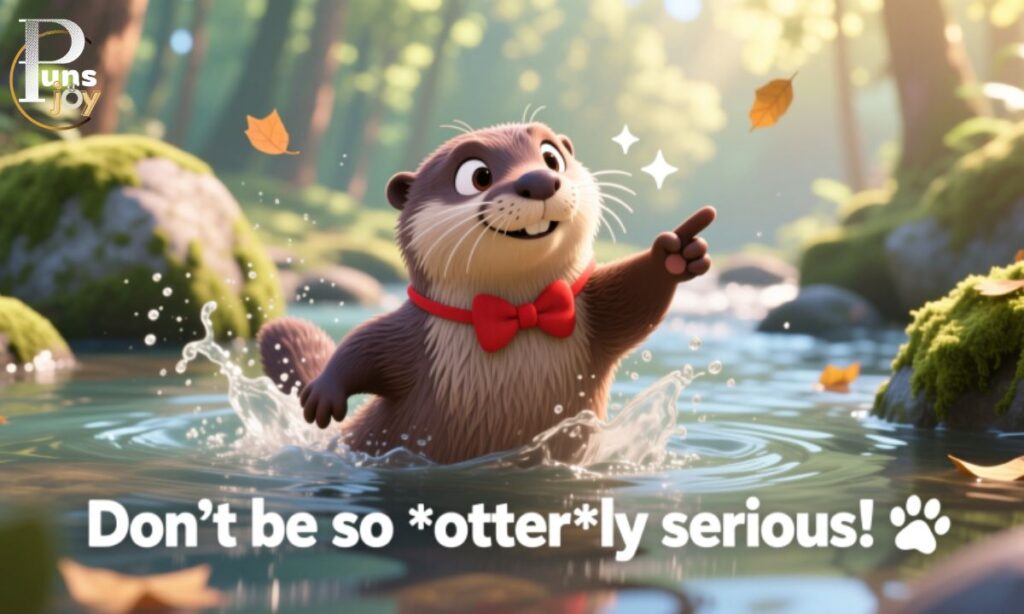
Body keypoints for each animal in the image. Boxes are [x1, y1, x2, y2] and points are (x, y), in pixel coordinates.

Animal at [258, 122, 714, 464]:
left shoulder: (593, 311)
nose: (540, 179)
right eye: (477, 175)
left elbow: (634, 300)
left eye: (551, 156)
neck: (518, 314)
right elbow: (365, 342)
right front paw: (323, 393)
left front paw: (675, 253)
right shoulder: (414, 335)